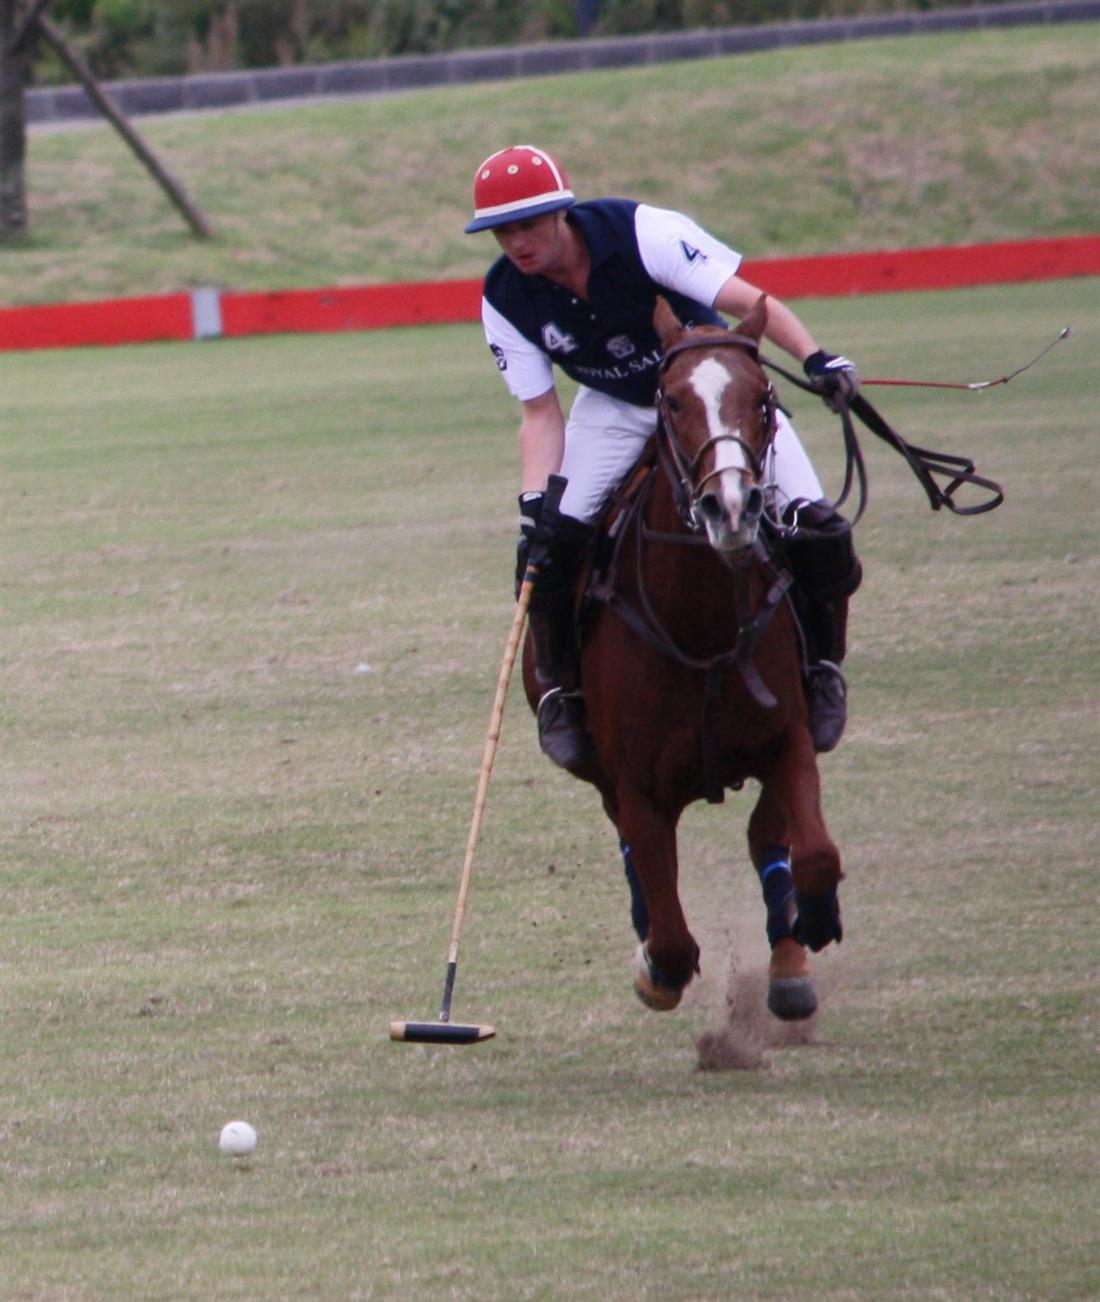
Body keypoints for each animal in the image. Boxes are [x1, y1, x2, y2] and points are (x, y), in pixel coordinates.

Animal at [523, 294, 843, 1021]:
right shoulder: (636, 781)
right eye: (670, 400)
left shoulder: (788, 735)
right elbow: (669, 933)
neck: (702, 628)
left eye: (762, 396)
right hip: (596, 766)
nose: (732, 507)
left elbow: (810, 852)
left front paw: (810, 927)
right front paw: (655, 970)